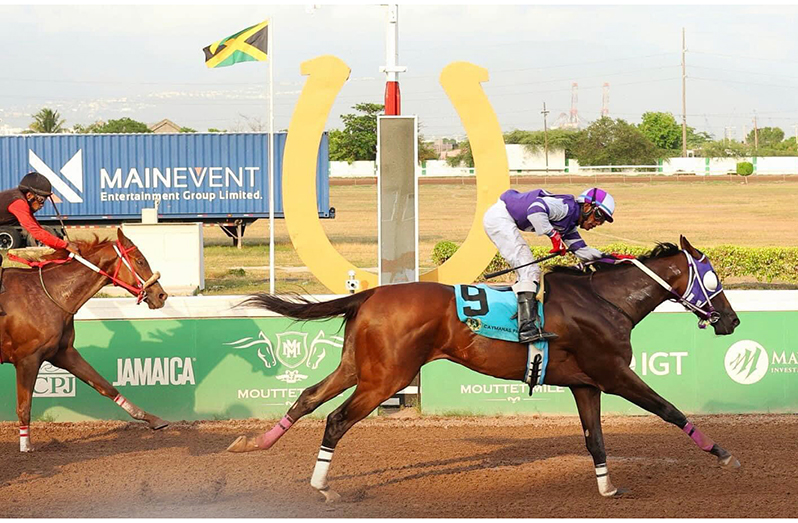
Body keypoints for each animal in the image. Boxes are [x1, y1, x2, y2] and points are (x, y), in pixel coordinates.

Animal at [0, 229, 169, 450]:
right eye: (140, 261)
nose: (161, 295)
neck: (48, 294)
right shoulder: (27, 359)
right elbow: (24, 407)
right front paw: (26, 446)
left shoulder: (63, 353)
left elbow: (105, 386)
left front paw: (152, 419)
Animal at [230, 236, 744, 500]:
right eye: (712, 277)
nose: (732, 320)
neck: (605, 301)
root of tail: (370, 294)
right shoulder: (614, 374)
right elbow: (670, 410)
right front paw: (724, 454)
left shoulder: (585, 385)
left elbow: (595, 439)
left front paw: (607, 488)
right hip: (387, 377)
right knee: (336, 419)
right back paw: (322, 487)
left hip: (359, 367)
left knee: (307, 398)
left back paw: (253, 443)